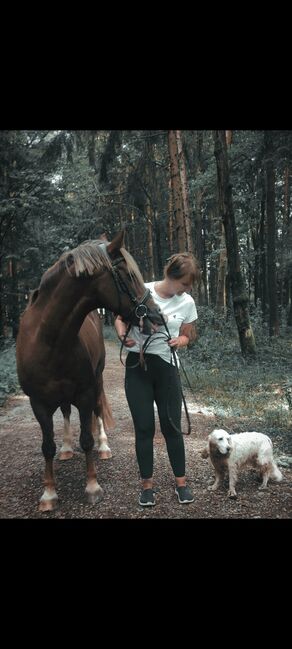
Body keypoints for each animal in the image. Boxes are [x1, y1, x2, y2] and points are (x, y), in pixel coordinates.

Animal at [16, 230, 163, 508]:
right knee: (64, 412)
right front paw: (49, 493)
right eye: (128, 275)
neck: (49, 341)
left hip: (97, 379)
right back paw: (65, 448)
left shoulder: (85, 394)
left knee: (97, 409)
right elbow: (47, 446)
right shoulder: (38, 403)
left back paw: (103, 447)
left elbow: (87, 438)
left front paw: (92, 486)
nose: (157, 315)